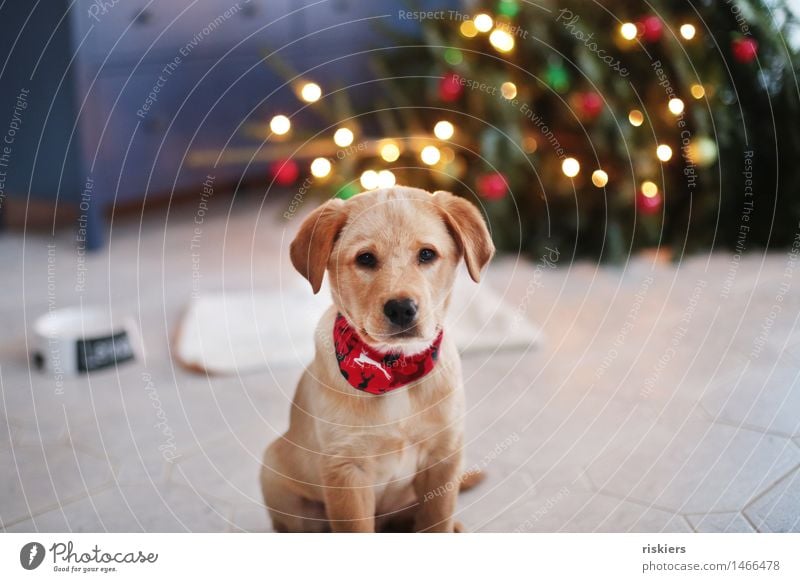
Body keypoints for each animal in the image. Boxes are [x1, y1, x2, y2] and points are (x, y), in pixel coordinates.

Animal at [260, 187, 494, 532]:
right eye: (365, 258)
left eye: (427, 254)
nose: (401, 309)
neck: (396, 369)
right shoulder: (346, 470)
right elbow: (356, 527)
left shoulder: (444, 455)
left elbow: (437, 520)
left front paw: (445, 526)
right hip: (275, 474)